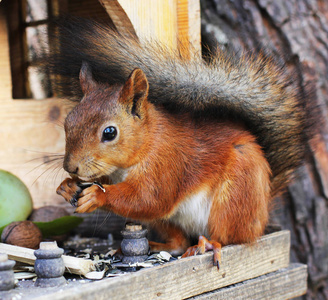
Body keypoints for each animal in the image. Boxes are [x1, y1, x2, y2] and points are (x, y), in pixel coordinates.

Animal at [52, 18, 316, 268]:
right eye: (68, 121)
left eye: (109, 132)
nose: (71, 167)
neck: (146, 143)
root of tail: (262, 210)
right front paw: (67, 186)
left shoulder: (167, 165)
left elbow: (147, 199)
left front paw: (96, 196)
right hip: (167, 221)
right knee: (178, 242)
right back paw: (159, 246)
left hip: (235, 196)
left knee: (231, 237)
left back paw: (208, 244)